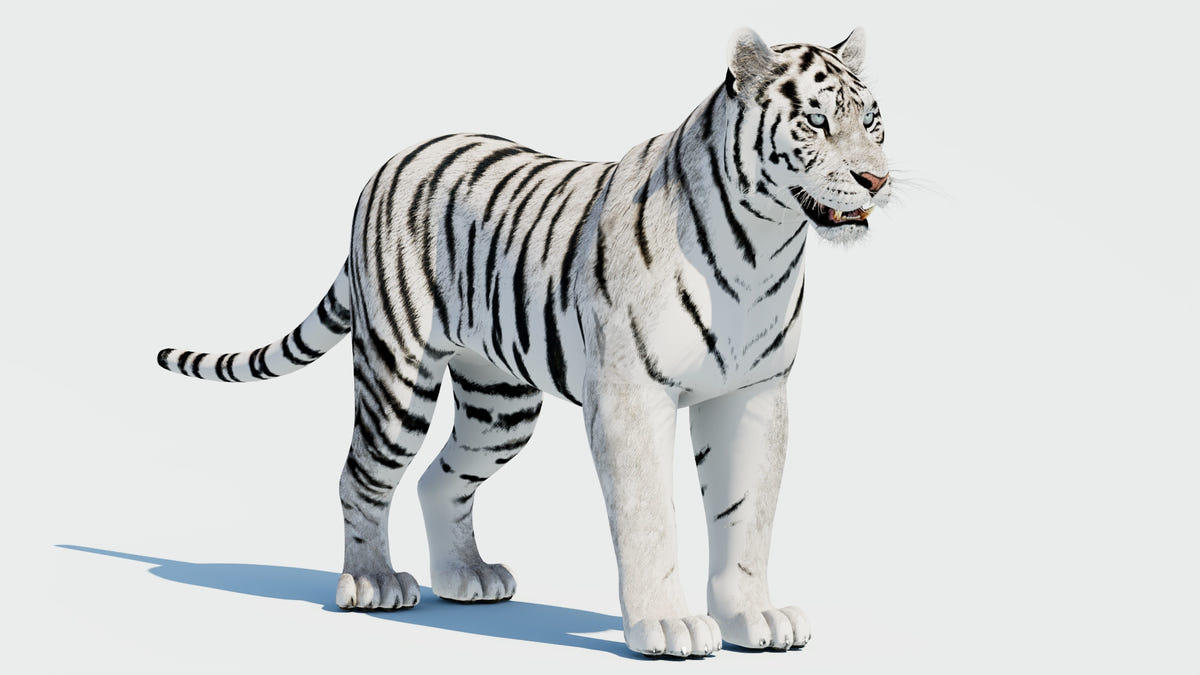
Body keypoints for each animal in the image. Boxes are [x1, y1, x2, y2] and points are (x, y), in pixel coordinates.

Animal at [156, 27, 891, 657]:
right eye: (817, 121)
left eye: (873, 120)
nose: (876, 179)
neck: (764, 246)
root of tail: (391, 162)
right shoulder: (632, 398)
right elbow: (651, 516)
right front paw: (666, 625)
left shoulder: (753, 392)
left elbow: (746, 514)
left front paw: (753, 617)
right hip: (398, 378)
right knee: (361, 474)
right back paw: (372, 582)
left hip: (499, 404)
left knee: (440, 478)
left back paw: (467, 577)